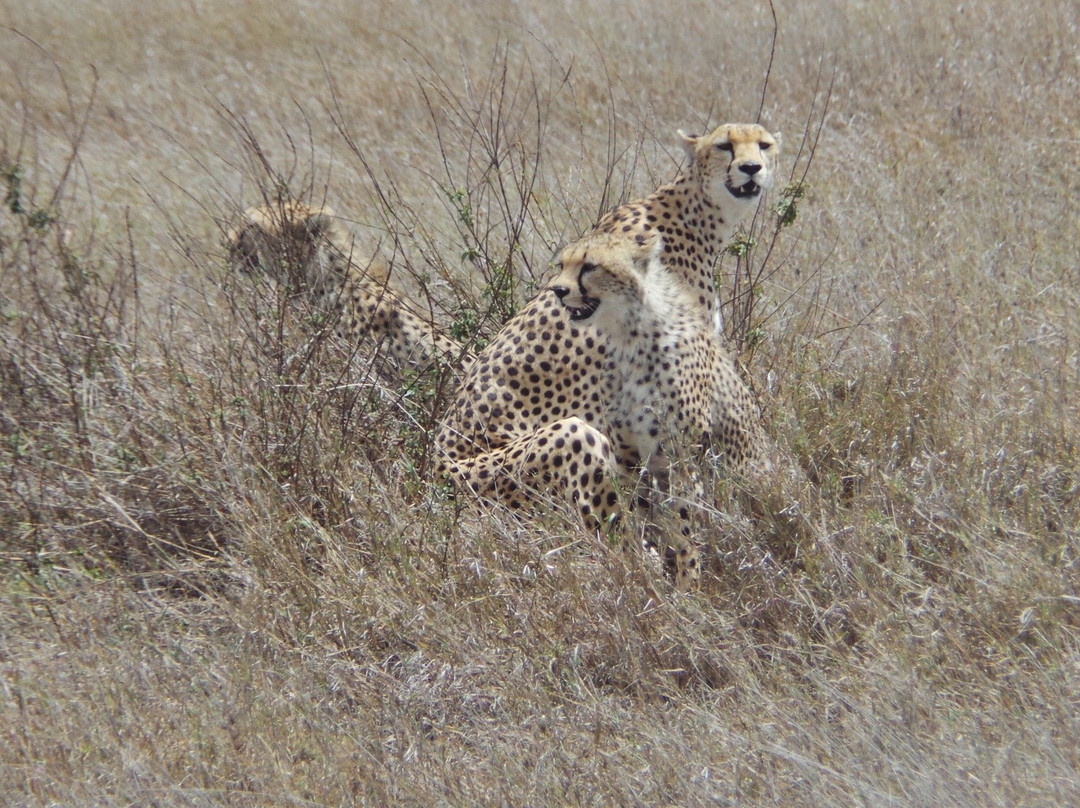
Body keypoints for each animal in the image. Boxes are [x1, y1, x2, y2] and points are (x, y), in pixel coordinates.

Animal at [434, 121, 781, 587]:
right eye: (725, 145)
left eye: (764, 145)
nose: (751, 168)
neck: (697, 211)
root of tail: (431, 474)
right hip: (564, 439)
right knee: (615, 537)